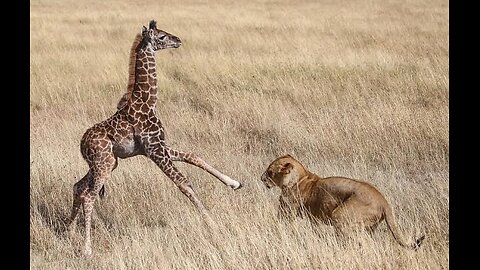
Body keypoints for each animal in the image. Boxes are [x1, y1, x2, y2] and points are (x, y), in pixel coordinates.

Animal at [63, 20, 242, 256]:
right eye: (162, 36)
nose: (178, 40)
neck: (148, 103)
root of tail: (81, 144)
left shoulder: (158, 147)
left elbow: (193, 156)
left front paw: (235, 183)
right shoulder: (155, 150)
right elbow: (184, 183)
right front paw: (212, 223)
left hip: (107, 163)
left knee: (79, 187)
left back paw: (68, 231)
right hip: (104, 163)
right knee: (89, 195)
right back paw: (87, 248)